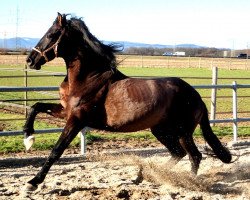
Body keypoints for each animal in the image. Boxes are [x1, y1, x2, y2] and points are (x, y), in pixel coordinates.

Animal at [23, 12, 230, 191]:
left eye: (51, 35)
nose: (30, 60)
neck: (88, 78)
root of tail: (196, 96)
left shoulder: (77, 119)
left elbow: (57, 150)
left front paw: (33, 182)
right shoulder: (66, 111)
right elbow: (36, 106)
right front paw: (28, 137)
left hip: (182, 131)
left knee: (194, 155)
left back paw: (186, 181)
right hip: (161, 130)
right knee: (179, 153)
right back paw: (144, 176)